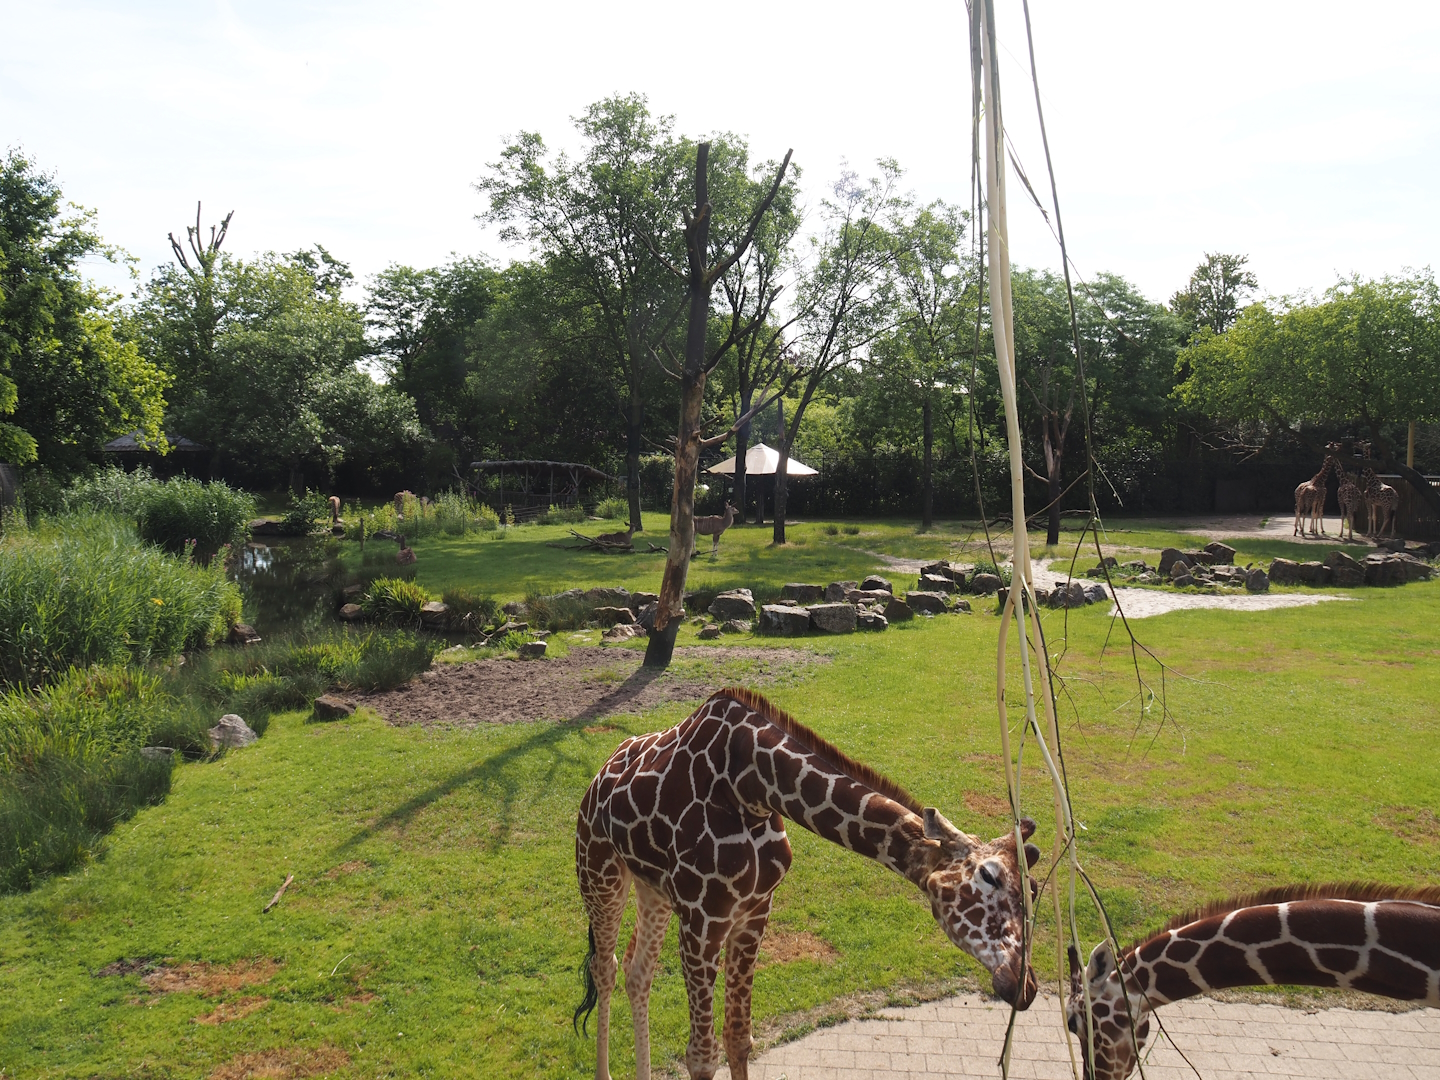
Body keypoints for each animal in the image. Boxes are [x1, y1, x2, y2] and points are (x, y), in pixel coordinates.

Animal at [575, 687, 1041, 1080]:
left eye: (1033, 892)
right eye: (988, 876)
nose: (1025, 986)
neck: (752, 787)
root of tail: (597, 777)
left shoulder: (753, 913)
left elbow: (738, 1039)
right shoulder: (703, 921)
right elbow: (702, 1055)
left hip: (651, 889)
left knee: (637, 972)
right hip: (600, 872)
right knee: (605, 968)